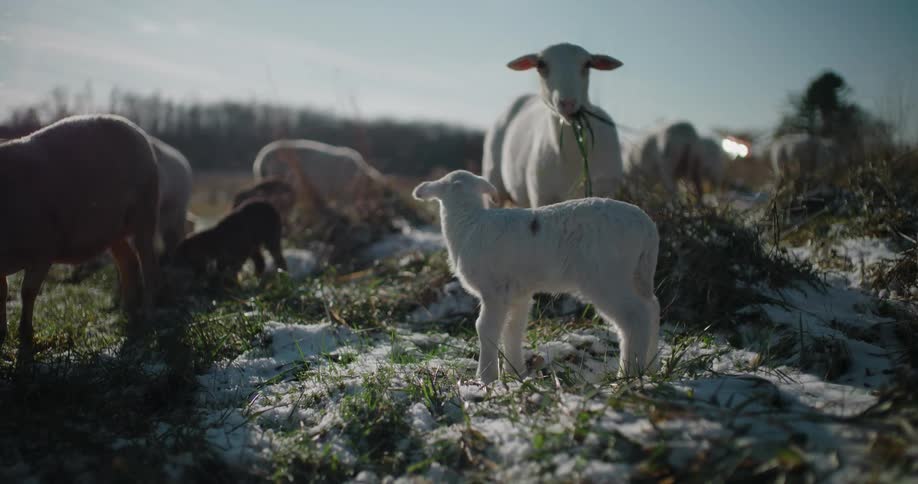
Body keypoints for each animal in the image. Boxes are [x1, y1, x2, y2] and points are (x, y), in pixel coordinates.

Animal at [1, 114, 160, 368]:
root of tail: (139, 132)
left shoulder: (45, 248)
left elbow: (28, 291)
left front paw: (25, 343)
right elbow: (3, 293)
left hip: (145, 210)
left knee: (149, 264)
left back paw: (148, 318)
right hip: (112, 230)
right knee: (128, 261)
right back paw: (126, 314)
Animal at [413, 170, 660, 383]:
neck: (469, 221)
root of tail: (647, 227)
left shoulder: (493, 291)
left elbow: (485, 328)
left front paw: (486, 378)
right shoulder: (518, 295)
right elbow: (513, 329)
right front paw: (515, 375)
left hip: (606, 276)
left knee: (635, 317)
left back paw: (628, 373)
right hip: (636, 274)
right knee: (652, 307)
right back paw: (651, 366)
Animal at [482, 43, 625, 207]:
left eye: (587, 64)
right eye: (541, 64)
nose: (568, 103)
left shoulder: (604, 191)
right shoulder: (541, 196)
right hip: (493, 183)